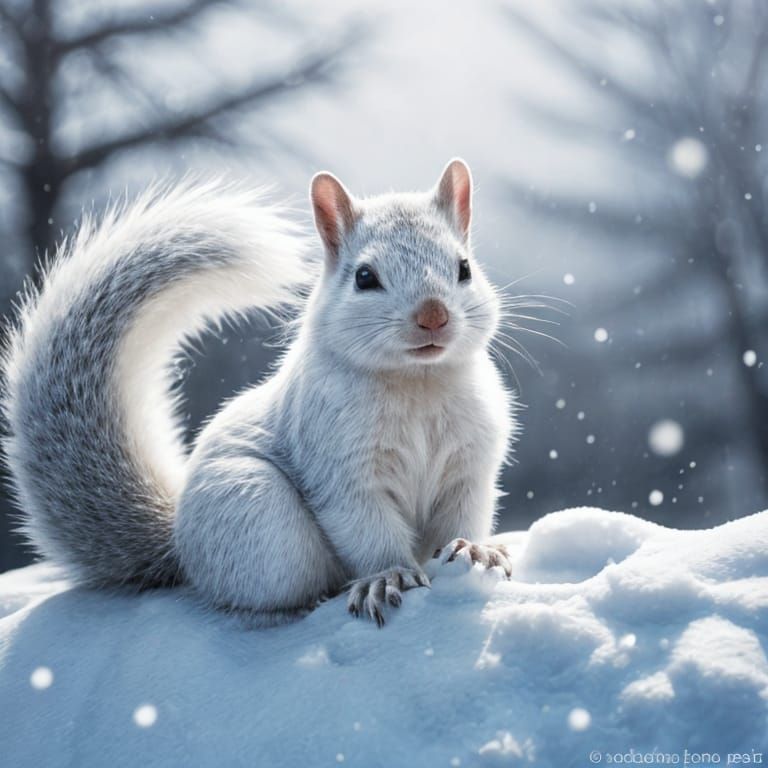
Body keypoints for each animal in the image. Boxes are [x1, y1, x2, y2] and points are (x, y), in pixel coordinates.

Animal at [1, 159, 514, 626]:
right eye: (365, 277)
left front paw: (476, 550)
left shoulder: (470, 467)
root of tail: (182, 548)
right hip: (256, 512)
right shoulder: (340, 470)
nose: (433, 315)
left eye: (465, 268)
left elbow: (462, 516)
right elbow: (367, 530)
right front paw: (388, 576)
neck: (418, 383)